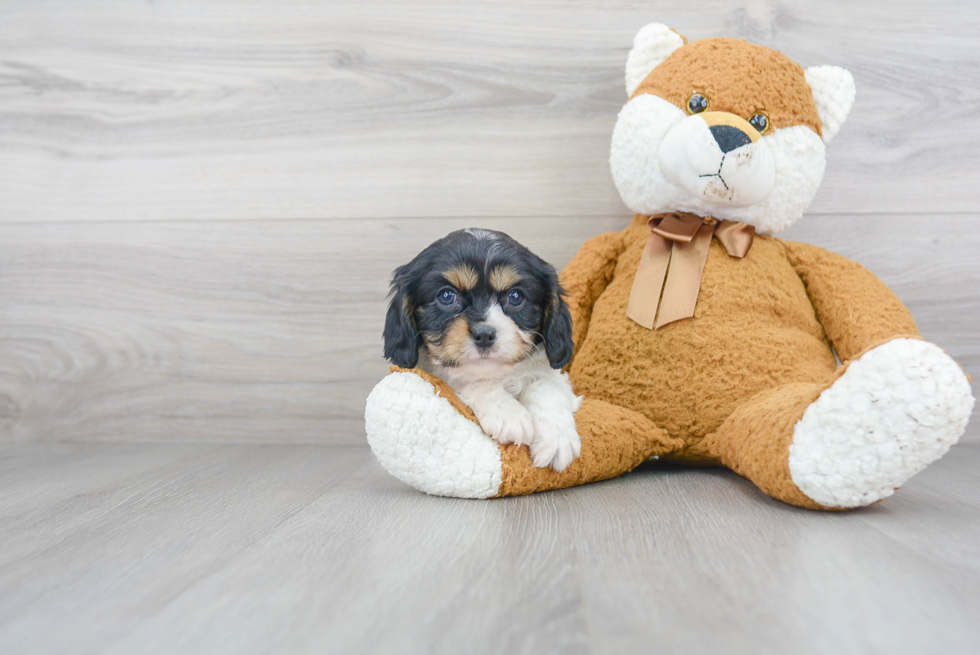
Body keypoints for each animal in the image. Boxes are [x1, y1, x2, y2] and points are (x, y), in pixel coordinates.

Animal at [382, 229, 580, 472]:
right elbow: (474, 383)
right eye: (446, 296)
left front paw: (557, 439)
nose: (484, 334)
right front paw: (509, 414)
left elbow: (546, 386)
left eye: (515, 297)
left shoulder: (555, 376)